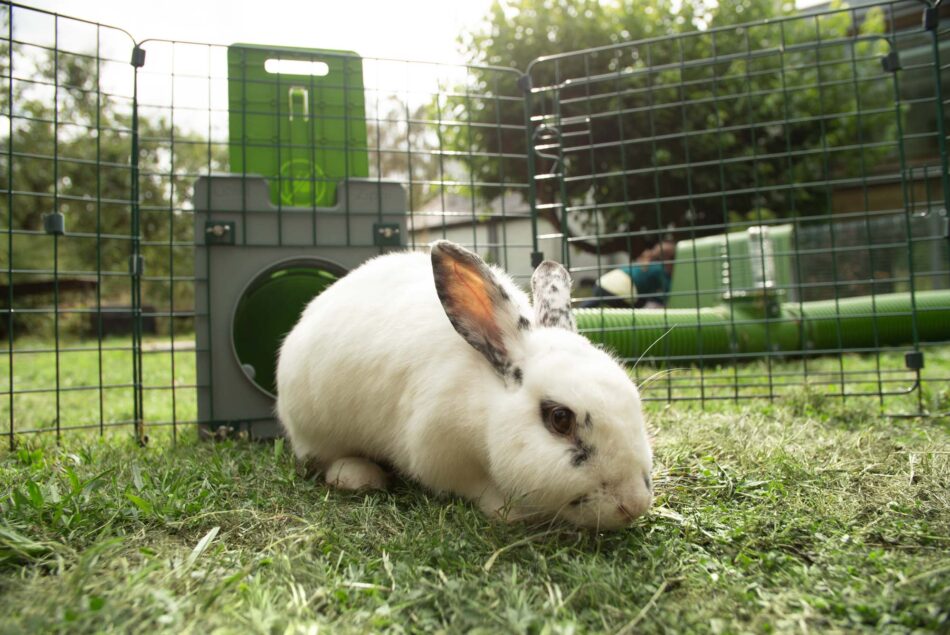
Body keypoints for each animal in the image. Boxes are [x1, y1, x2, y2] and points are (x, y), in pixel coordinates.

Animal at [278, 241, 656, 528]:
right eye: (560, 418)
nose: (634, 504)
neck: (484, 407)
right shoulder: (438, 454)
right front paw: (510, 512)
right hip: (316, 427)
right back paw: (359, 476)